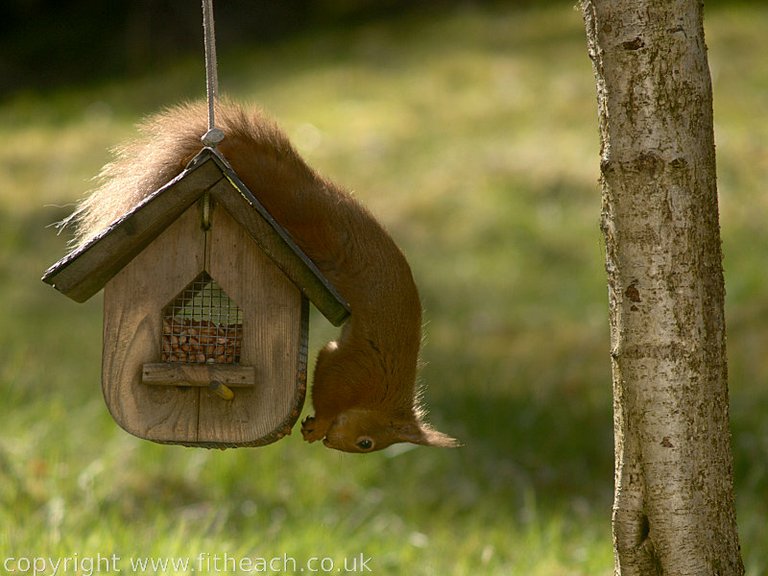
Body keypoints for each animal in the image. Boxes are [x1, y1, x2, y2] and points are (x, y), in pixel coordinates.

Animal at [70, 100, 456, 454]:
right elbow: (329, 375)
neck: (384, 388)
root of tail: (315, 186)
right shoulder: (356, 366)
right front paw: (321, 424)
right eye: (366, 443)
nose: (332, 445)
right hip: (306, 217)